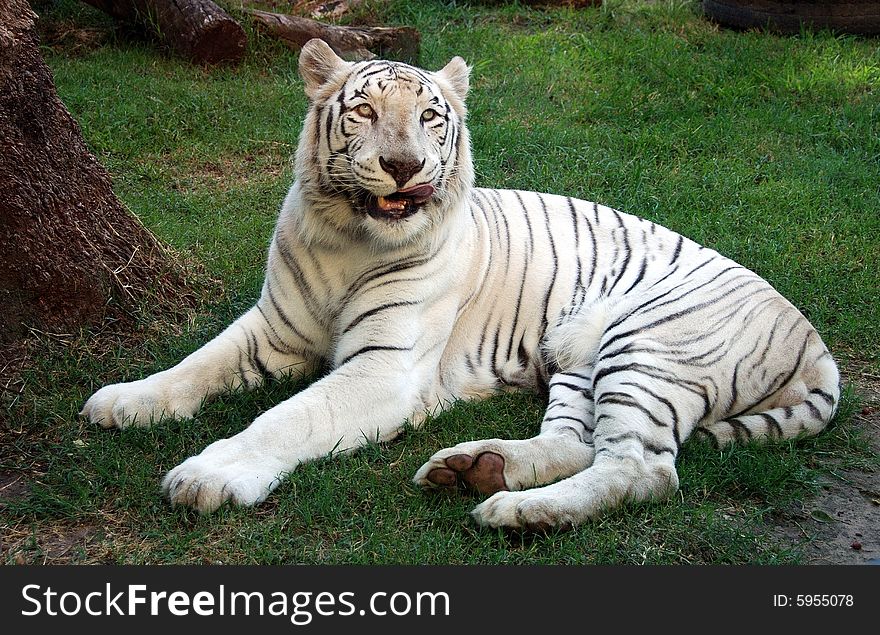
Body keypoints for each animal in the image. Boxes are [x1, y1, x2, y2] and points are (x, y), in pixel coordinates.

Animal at [81, 37, 840, 528]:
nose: (402, 165)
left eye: (429, 117)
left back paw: (514, 510)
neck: (348, 239)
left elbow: (287, 417)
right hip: (578, 356)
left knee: (642, 468)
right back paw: (478, 468)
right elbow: (196, 363)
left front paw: (208, 475)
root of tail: (813, 340)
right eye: (363, 111)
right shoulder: (274, 328)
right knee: (578, 442)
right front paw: (124, 400)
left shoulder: (382, 369)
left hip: (647, 345)